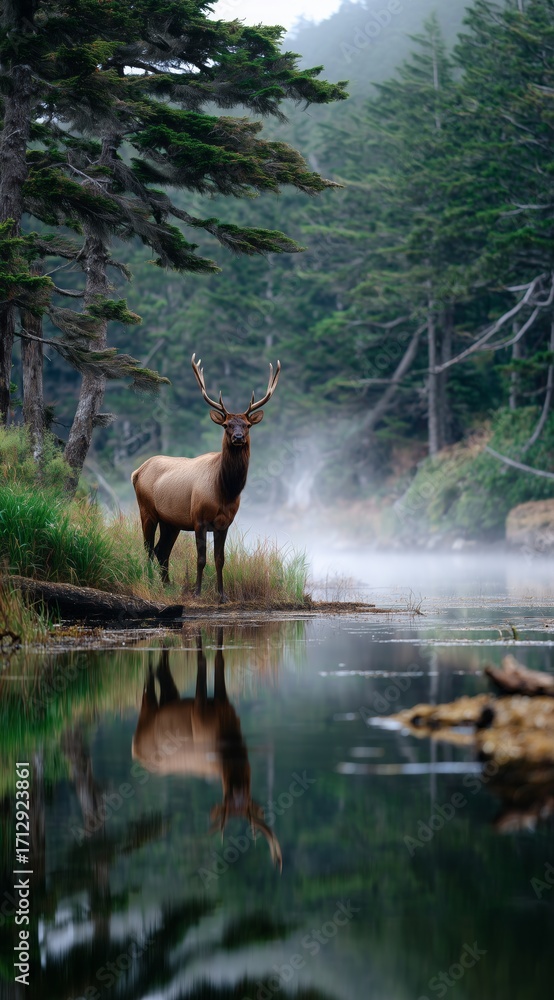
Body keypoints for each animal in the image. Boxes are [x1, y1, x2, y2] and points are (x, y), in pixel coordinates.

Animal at [131, 354, 281, 602]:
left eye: (247, 425)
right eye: (227, 425)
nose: (238, 437)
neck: (224, 491)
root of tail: (137, 471)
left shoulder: (225, 523)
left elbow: (220, 560)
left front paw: (222, 595)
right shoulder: (198, 519)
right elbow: (201, 559)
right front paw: (197, 593)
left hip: (171, 521)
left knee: (162, 551)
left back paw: (167, 585)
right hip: (147, 509)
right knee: (148, 548)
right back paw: (151, 583)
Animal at [132, 635, 282, 869]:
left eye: (246, 800)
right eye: (226, 795)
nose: (237, 791)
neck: (228, 733)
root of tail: (134, 749)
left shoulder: (223, 702)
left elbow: (219, 657)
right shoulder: (199, 710)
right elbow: (203, 661)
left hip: (169, 699)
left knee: (164, 675)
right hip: (147, 713)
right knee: (147, 691)